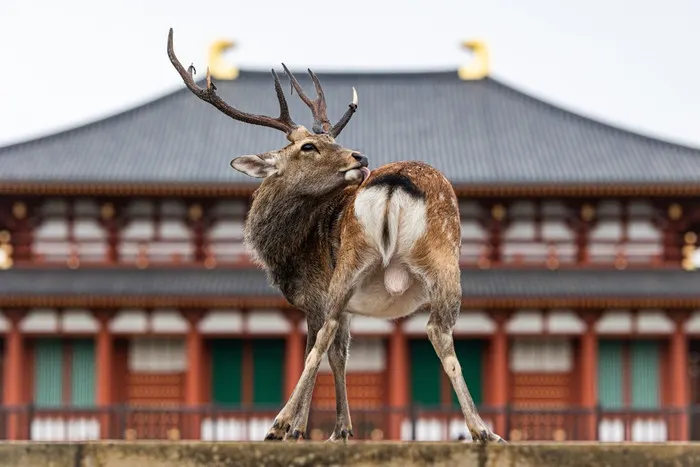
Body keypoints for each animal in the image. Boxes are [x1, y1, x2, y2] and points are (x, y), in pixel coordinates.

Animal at [167, 27, 506, 444]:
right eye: (310, 145)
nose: (360, 158)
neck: (287, 256)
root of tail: (396, 183)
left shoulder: (314, 296)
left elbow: (320, 350)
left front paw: (298, 429)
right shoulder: (343, 307)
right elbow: (340, 355)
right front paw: (341, 430)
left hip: (367, 258)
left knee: (347, 337)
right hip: (431, 262)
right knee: (435, 330)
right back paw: (481, 430)